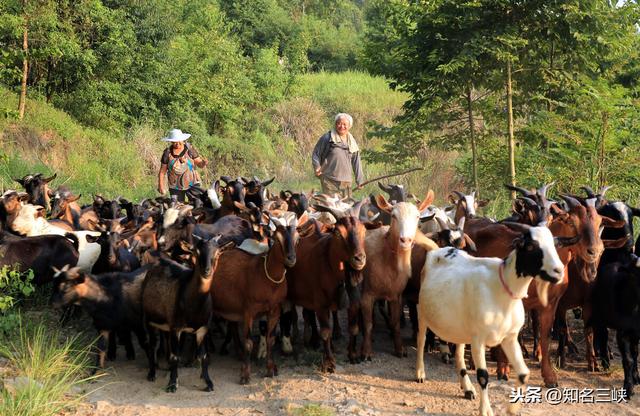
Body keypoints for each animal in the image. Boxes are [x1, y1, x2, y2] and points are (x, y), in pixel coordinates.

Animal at [416, 223, 560, 416]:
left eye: (553, 244)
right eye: (530, 246)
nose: (559, 271)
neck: (501, 289)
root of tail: (437, 249)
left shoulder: (509, 337)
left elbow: (524, 374)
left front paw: (512, 408)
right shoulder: (479, 339)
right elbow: (483, 376)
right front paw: (486, 410)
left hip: (461, 328)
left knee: (459, 353)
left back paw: (467, 388)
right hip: (422, 313)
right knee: (421, 340)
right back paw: (420, 373)